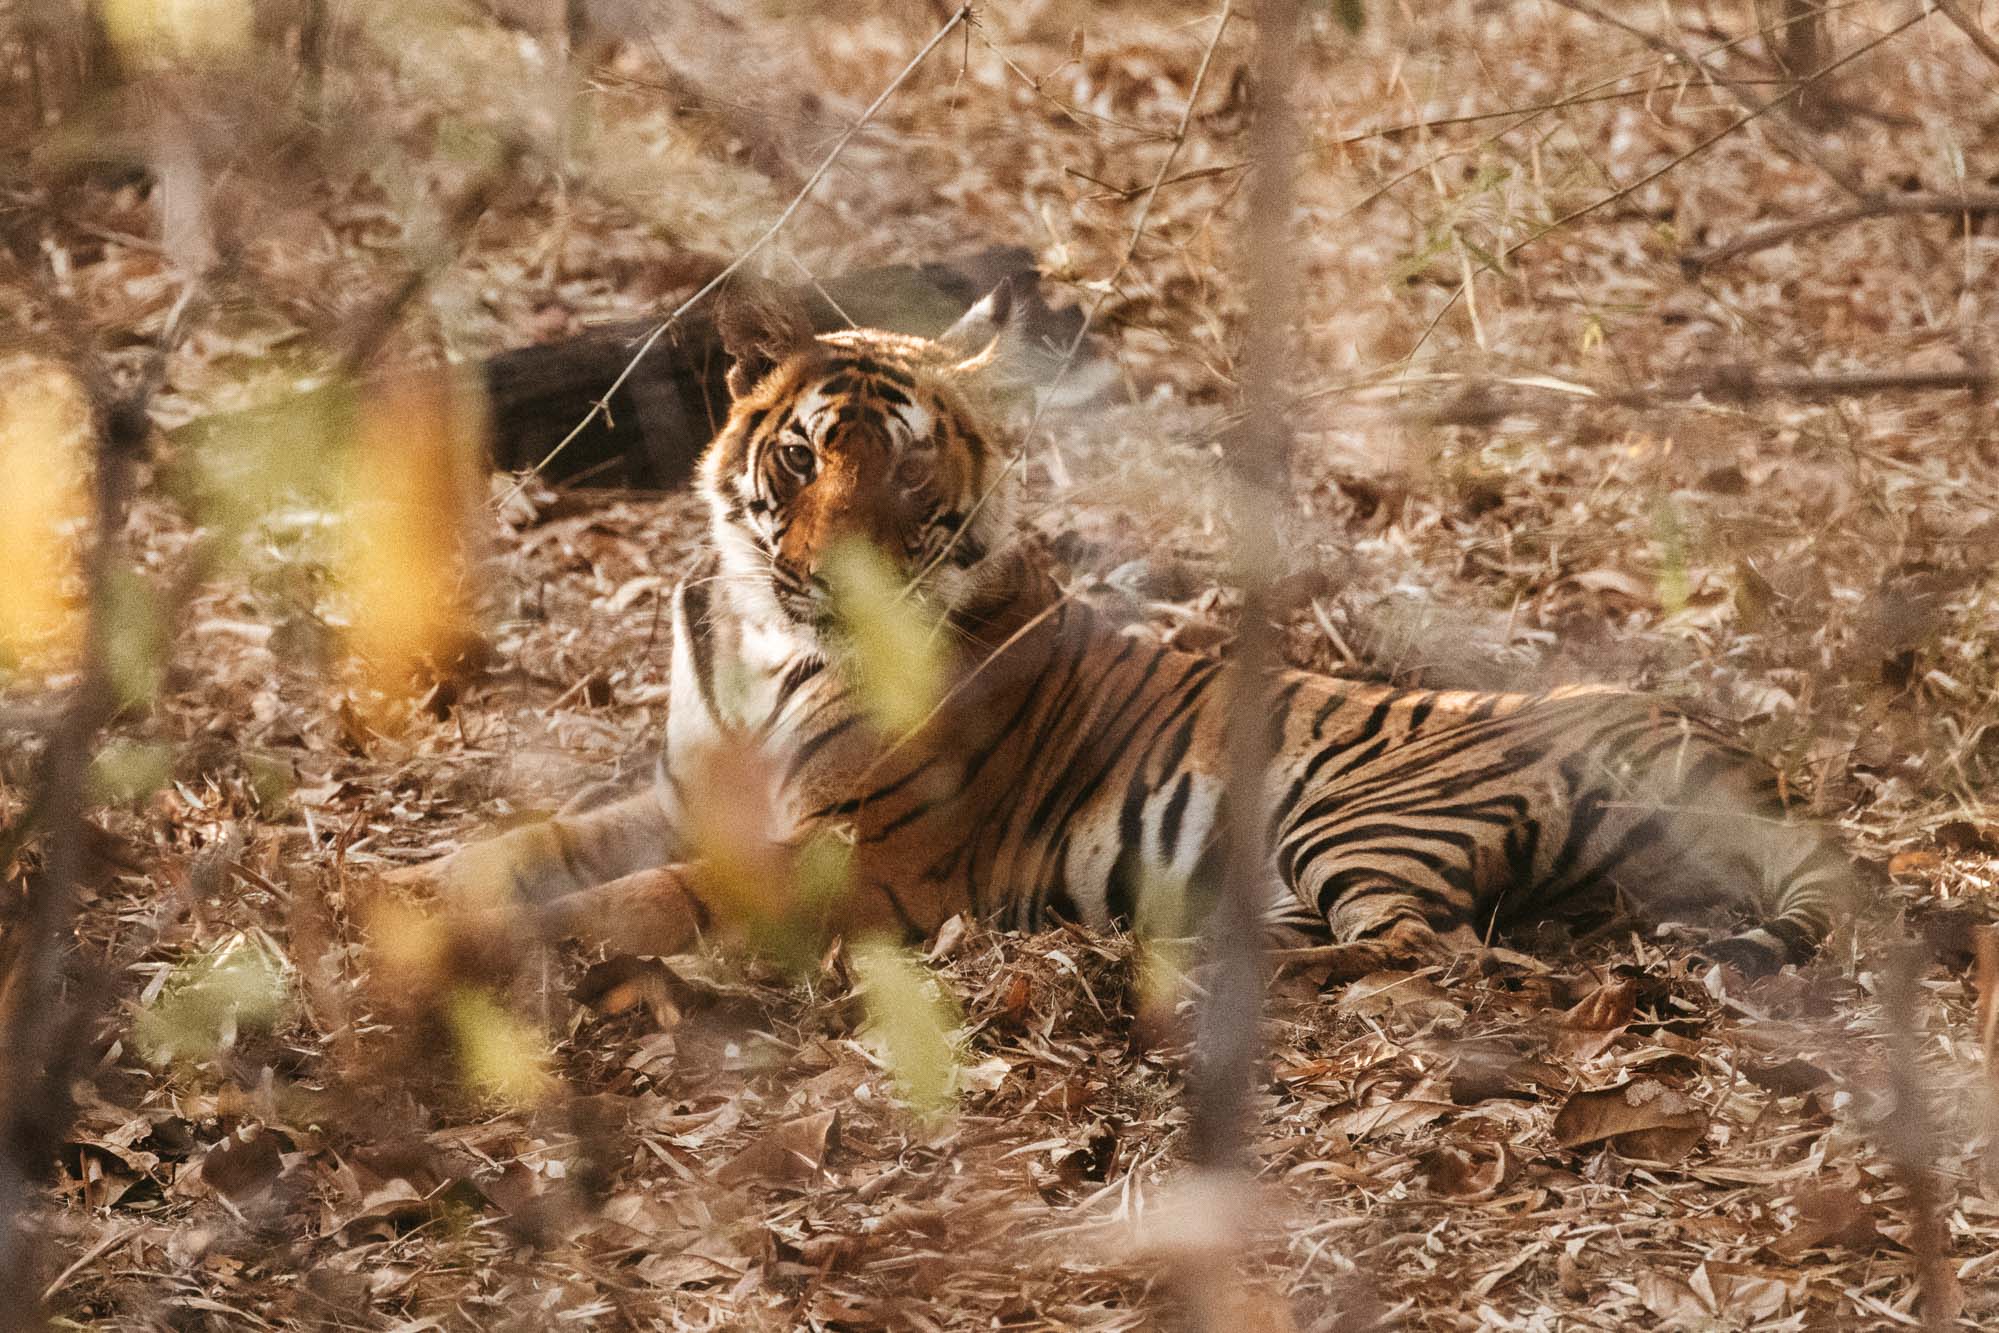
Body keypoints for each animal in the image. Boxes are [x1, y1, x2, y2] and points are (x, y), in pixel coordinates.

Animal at [384, 279, 1849, 984]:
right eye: (802, 456)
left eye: (905, 470)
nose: (822, 577)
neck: (759, 640)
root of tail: (1703, 736)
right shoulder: (683, 793)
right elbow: (521, 849)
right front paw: (394, 894)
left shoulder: (866, 855)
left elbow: (642, 901)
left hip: (1352, 813)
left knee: (1422, 953)